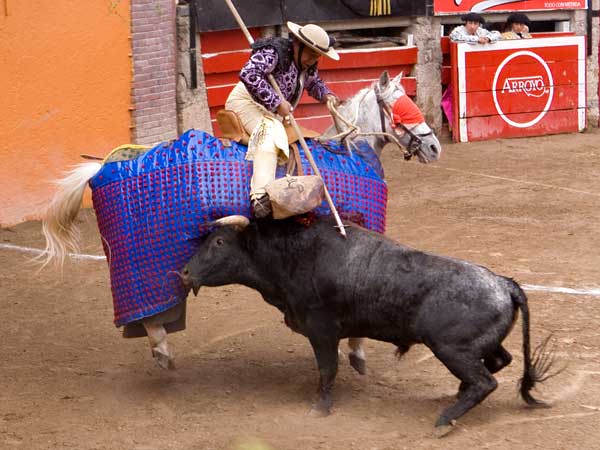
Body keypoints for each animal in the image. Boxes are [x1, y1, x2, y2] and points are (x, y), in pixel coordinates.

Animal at [38, 71, 440, 372]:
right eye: (401, 106)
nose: (435, 146)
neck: (349, 151)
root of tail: (104, 165)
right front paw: (356, 352)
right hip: (145, 259)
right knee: (149, 309)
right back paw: (162, 351)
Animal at [180, 216, 556, 430]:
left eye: (219, 241)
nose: (183, 273)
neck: (291, 254)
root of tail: (504, 283)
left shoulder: (322, 331)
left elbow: (328, 369)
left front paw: (320, 408)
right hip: (474, 347)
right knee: (499, 362)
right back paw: (456, 396)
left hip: (451, 349)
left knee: (485, 381)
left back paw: (445, 419)